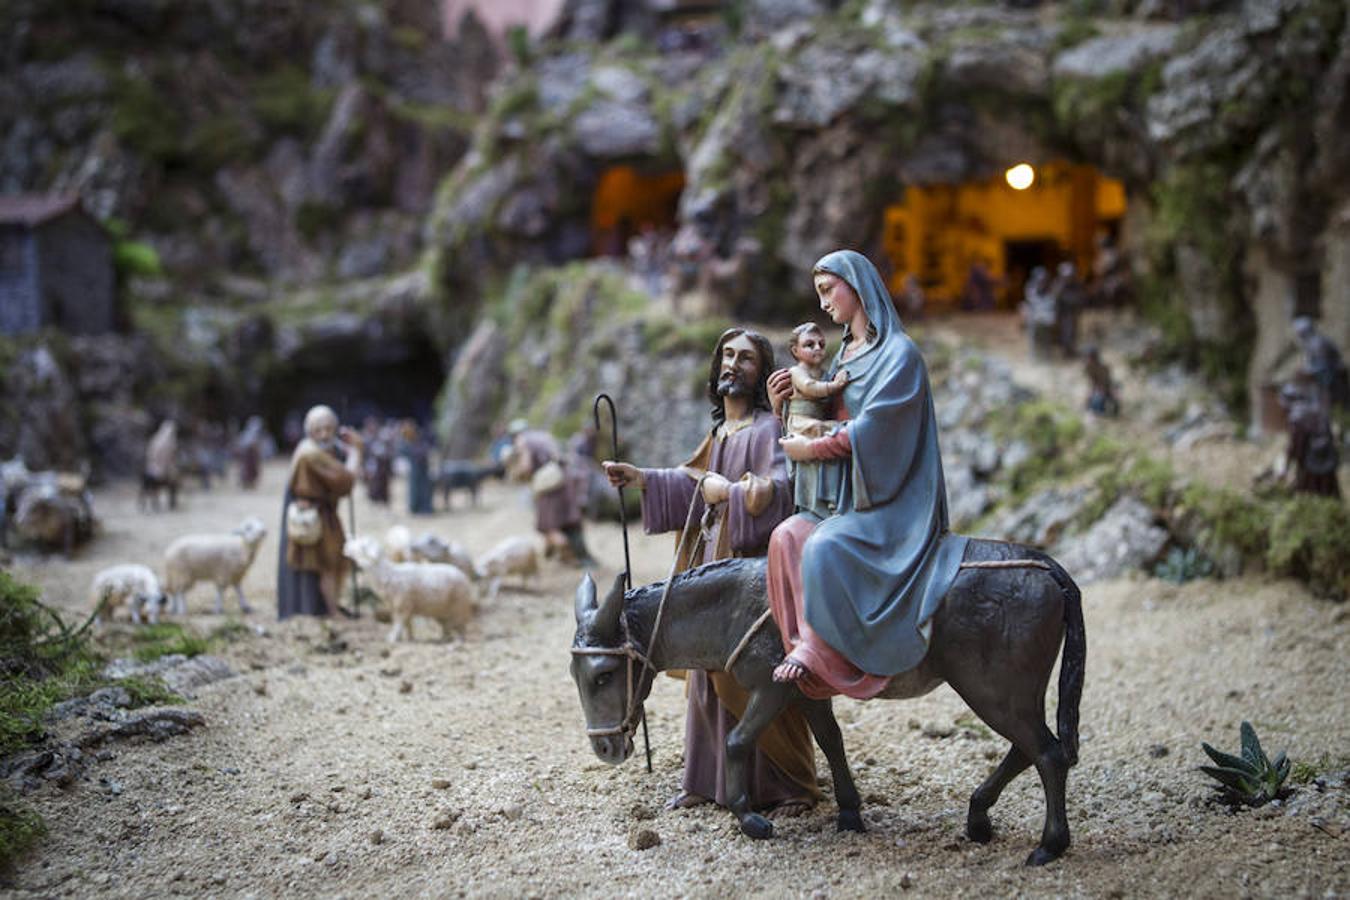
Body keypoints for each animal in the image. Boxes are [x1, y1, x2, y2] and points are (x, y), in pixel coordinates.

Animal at [342, 534, 475, 639]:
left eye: (362, 546)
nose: (345, 546)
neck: (388, 573)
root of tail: (463, 576)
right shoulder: (400, 606)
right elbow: (407, 624)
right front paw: (409, 638)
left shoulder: (402, 605)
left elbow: (399, 623)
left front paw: (392, 638)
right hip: (443, 611)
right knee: (447, 626)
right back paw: (444, 638)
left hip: (458, 607)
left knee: (461, 627)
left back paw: (458, 641)